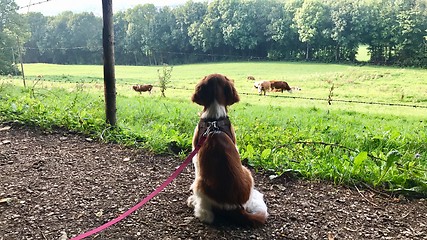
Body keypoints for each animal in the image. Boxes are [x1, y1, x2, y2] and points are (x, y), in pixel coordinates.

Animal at [189, 73, 270, 227]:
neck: (214, 119)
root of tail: (235, 207)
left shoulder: (196, 156)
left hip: (201, 183)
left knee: (207, 216)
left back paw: (195, 205)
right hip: (247, 173)